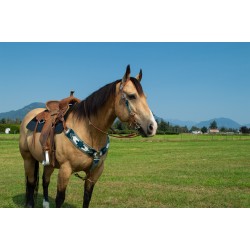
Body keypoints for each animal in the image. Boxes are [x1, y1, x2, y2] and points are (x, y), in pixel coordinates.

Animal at [19, 65, 156, 208]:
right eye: (132, 96)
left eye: (145, 97)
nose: (152, 126)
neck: (88, 131)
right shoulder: (65, 169)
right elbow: (59, 199)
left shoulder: (95, 173)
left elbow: (87, 197)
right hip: (28, 158)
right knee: (31, 182)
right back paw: (29, 204)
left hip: (49, 163)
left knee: (45, 180)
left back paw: (45, 204)